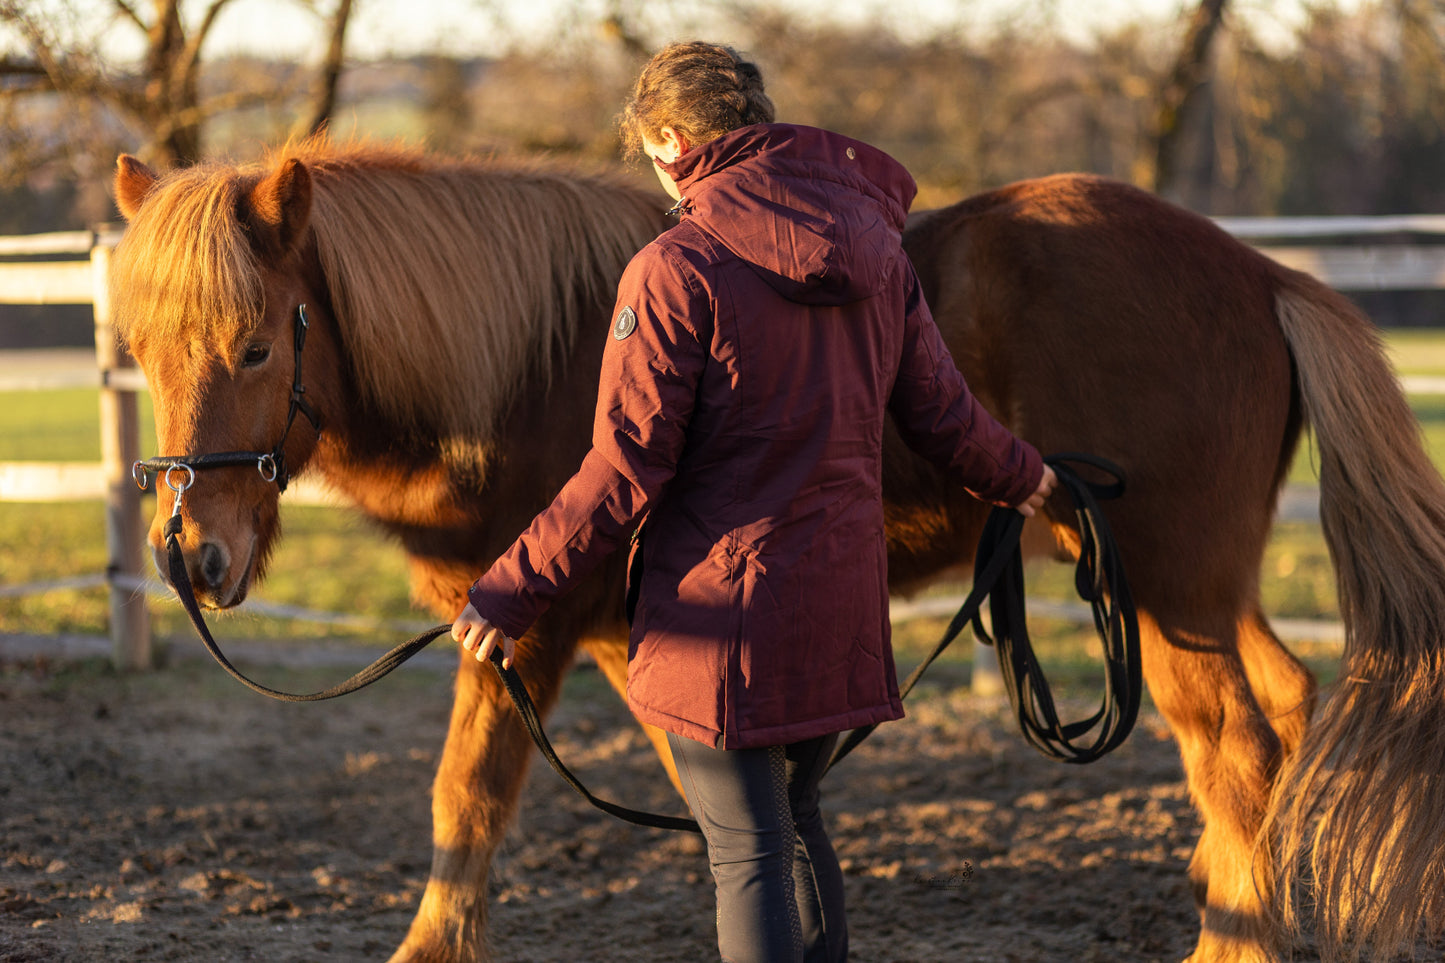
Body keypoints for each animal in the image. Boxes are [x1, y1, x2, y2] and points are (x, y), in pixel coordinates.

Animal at [109, 142, 1445, 960]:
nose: (190, 555)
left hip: (1165, 594)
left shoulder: (521, 635)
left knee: (1236, 749)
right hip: (1198, 589)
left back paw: (1233, 935)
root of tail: (1260, 273)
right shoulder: (639, 644)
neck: (532, 363)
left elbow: (465, 797)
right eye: (141, 345)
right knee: (1286, 712)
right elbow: (714, 798)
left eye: (256, 345)